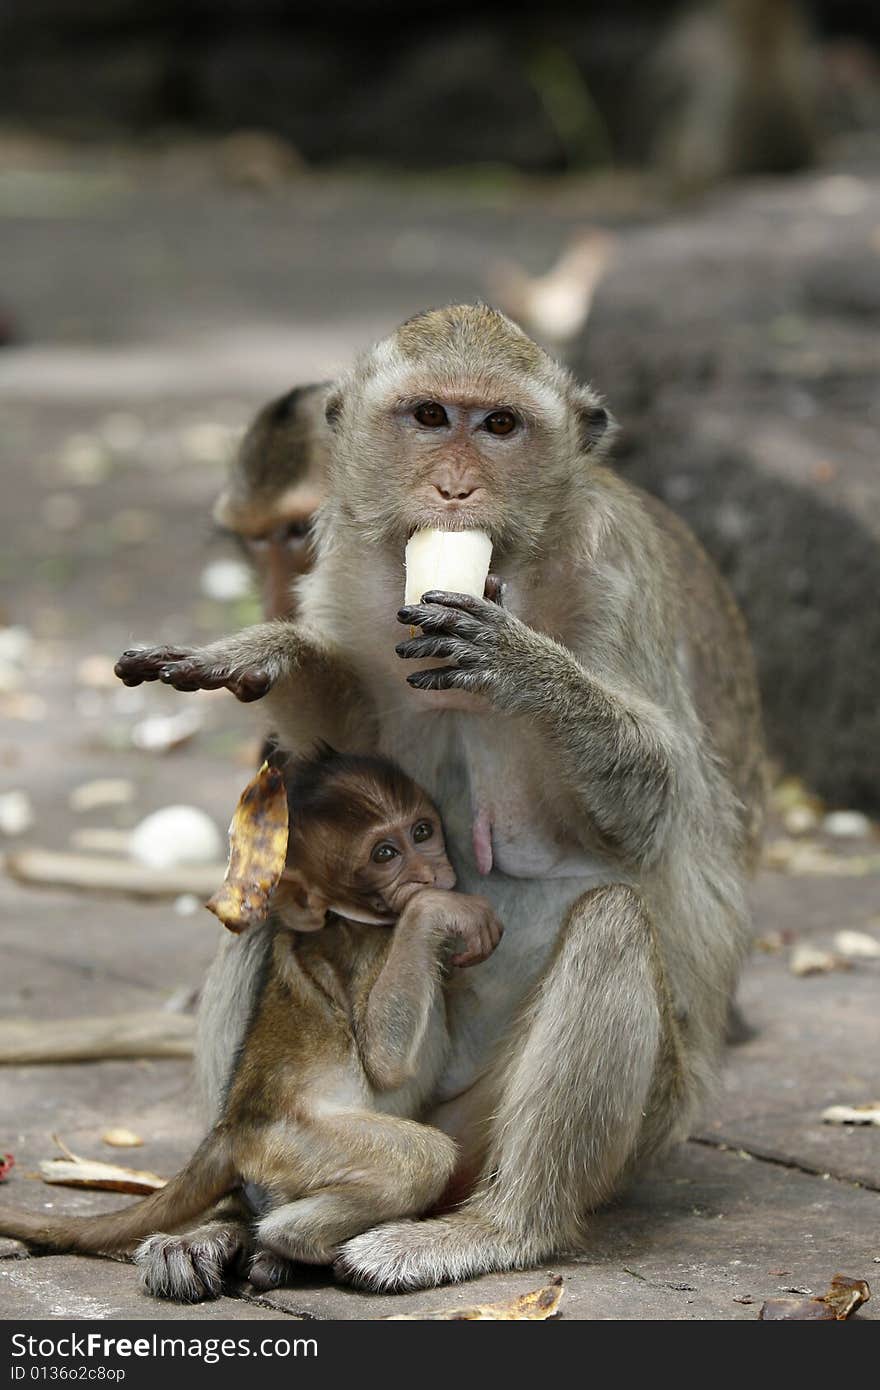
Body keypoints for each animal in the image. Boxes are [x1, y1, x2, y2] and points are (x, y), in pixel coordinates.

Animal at [0, 750, 500, 1301]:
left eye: (422, 831)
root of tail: (232, 1125)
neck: (355, 918)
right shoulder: (370, 949)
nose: (429, 872)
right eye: (385, 853)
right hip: (295, 1141)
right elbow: (384, 1062)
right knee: (423, 1156)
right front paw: (437, 913)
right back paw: (293, 1241)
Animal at [114, 304, 761, 1289]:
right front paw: (268, 652)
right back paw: (230, 1215)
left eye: (497, 425)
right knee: (267, 904)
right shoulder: (351, 578)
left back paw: (500, 1227)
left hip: (557, 1127)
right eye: (429, 418)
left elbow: (660, 811)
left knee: (612, 925)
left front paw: (526, 667)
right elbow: (341, 770)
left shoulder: (615, 575)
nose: (455, 489)